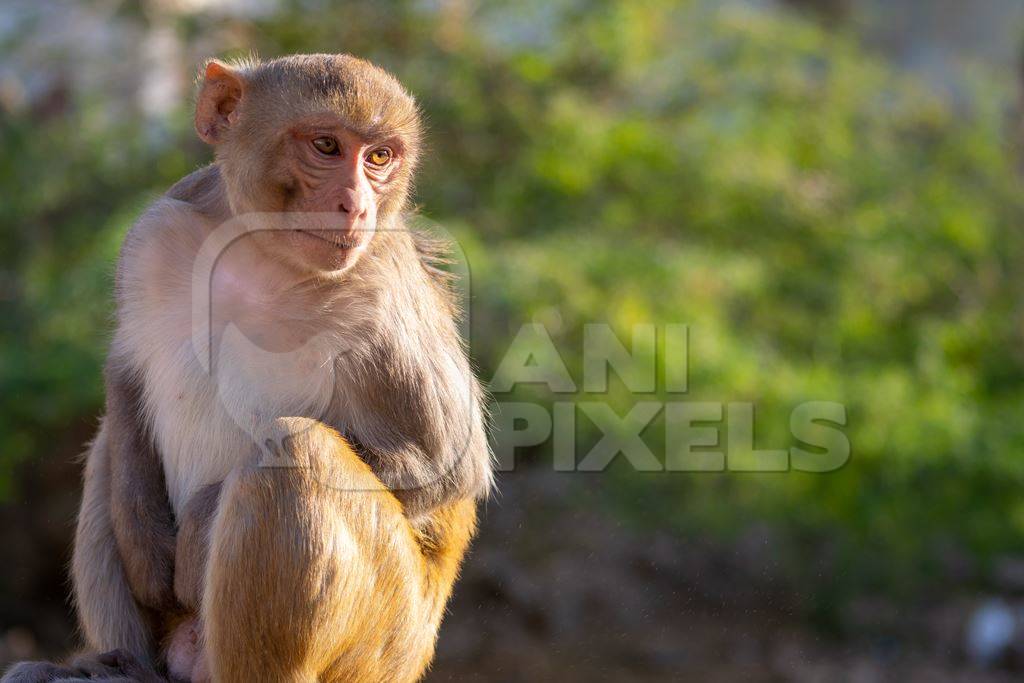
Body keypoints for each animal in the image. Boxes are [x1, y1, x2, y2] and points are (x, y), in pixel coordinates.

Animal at [4, 54, 491, 683]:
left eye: (379, 157)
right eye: (327, 146)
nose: (357, 205)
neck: (259, 250)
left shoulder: (382, 291)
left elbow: (442, 466)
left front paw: (199, 528)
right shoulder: (153, 232)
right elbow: (125, 381)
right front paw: (147, 549)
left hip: (386, 638)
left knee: (292, 451)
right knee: (109, 445)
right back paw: (119, 665)